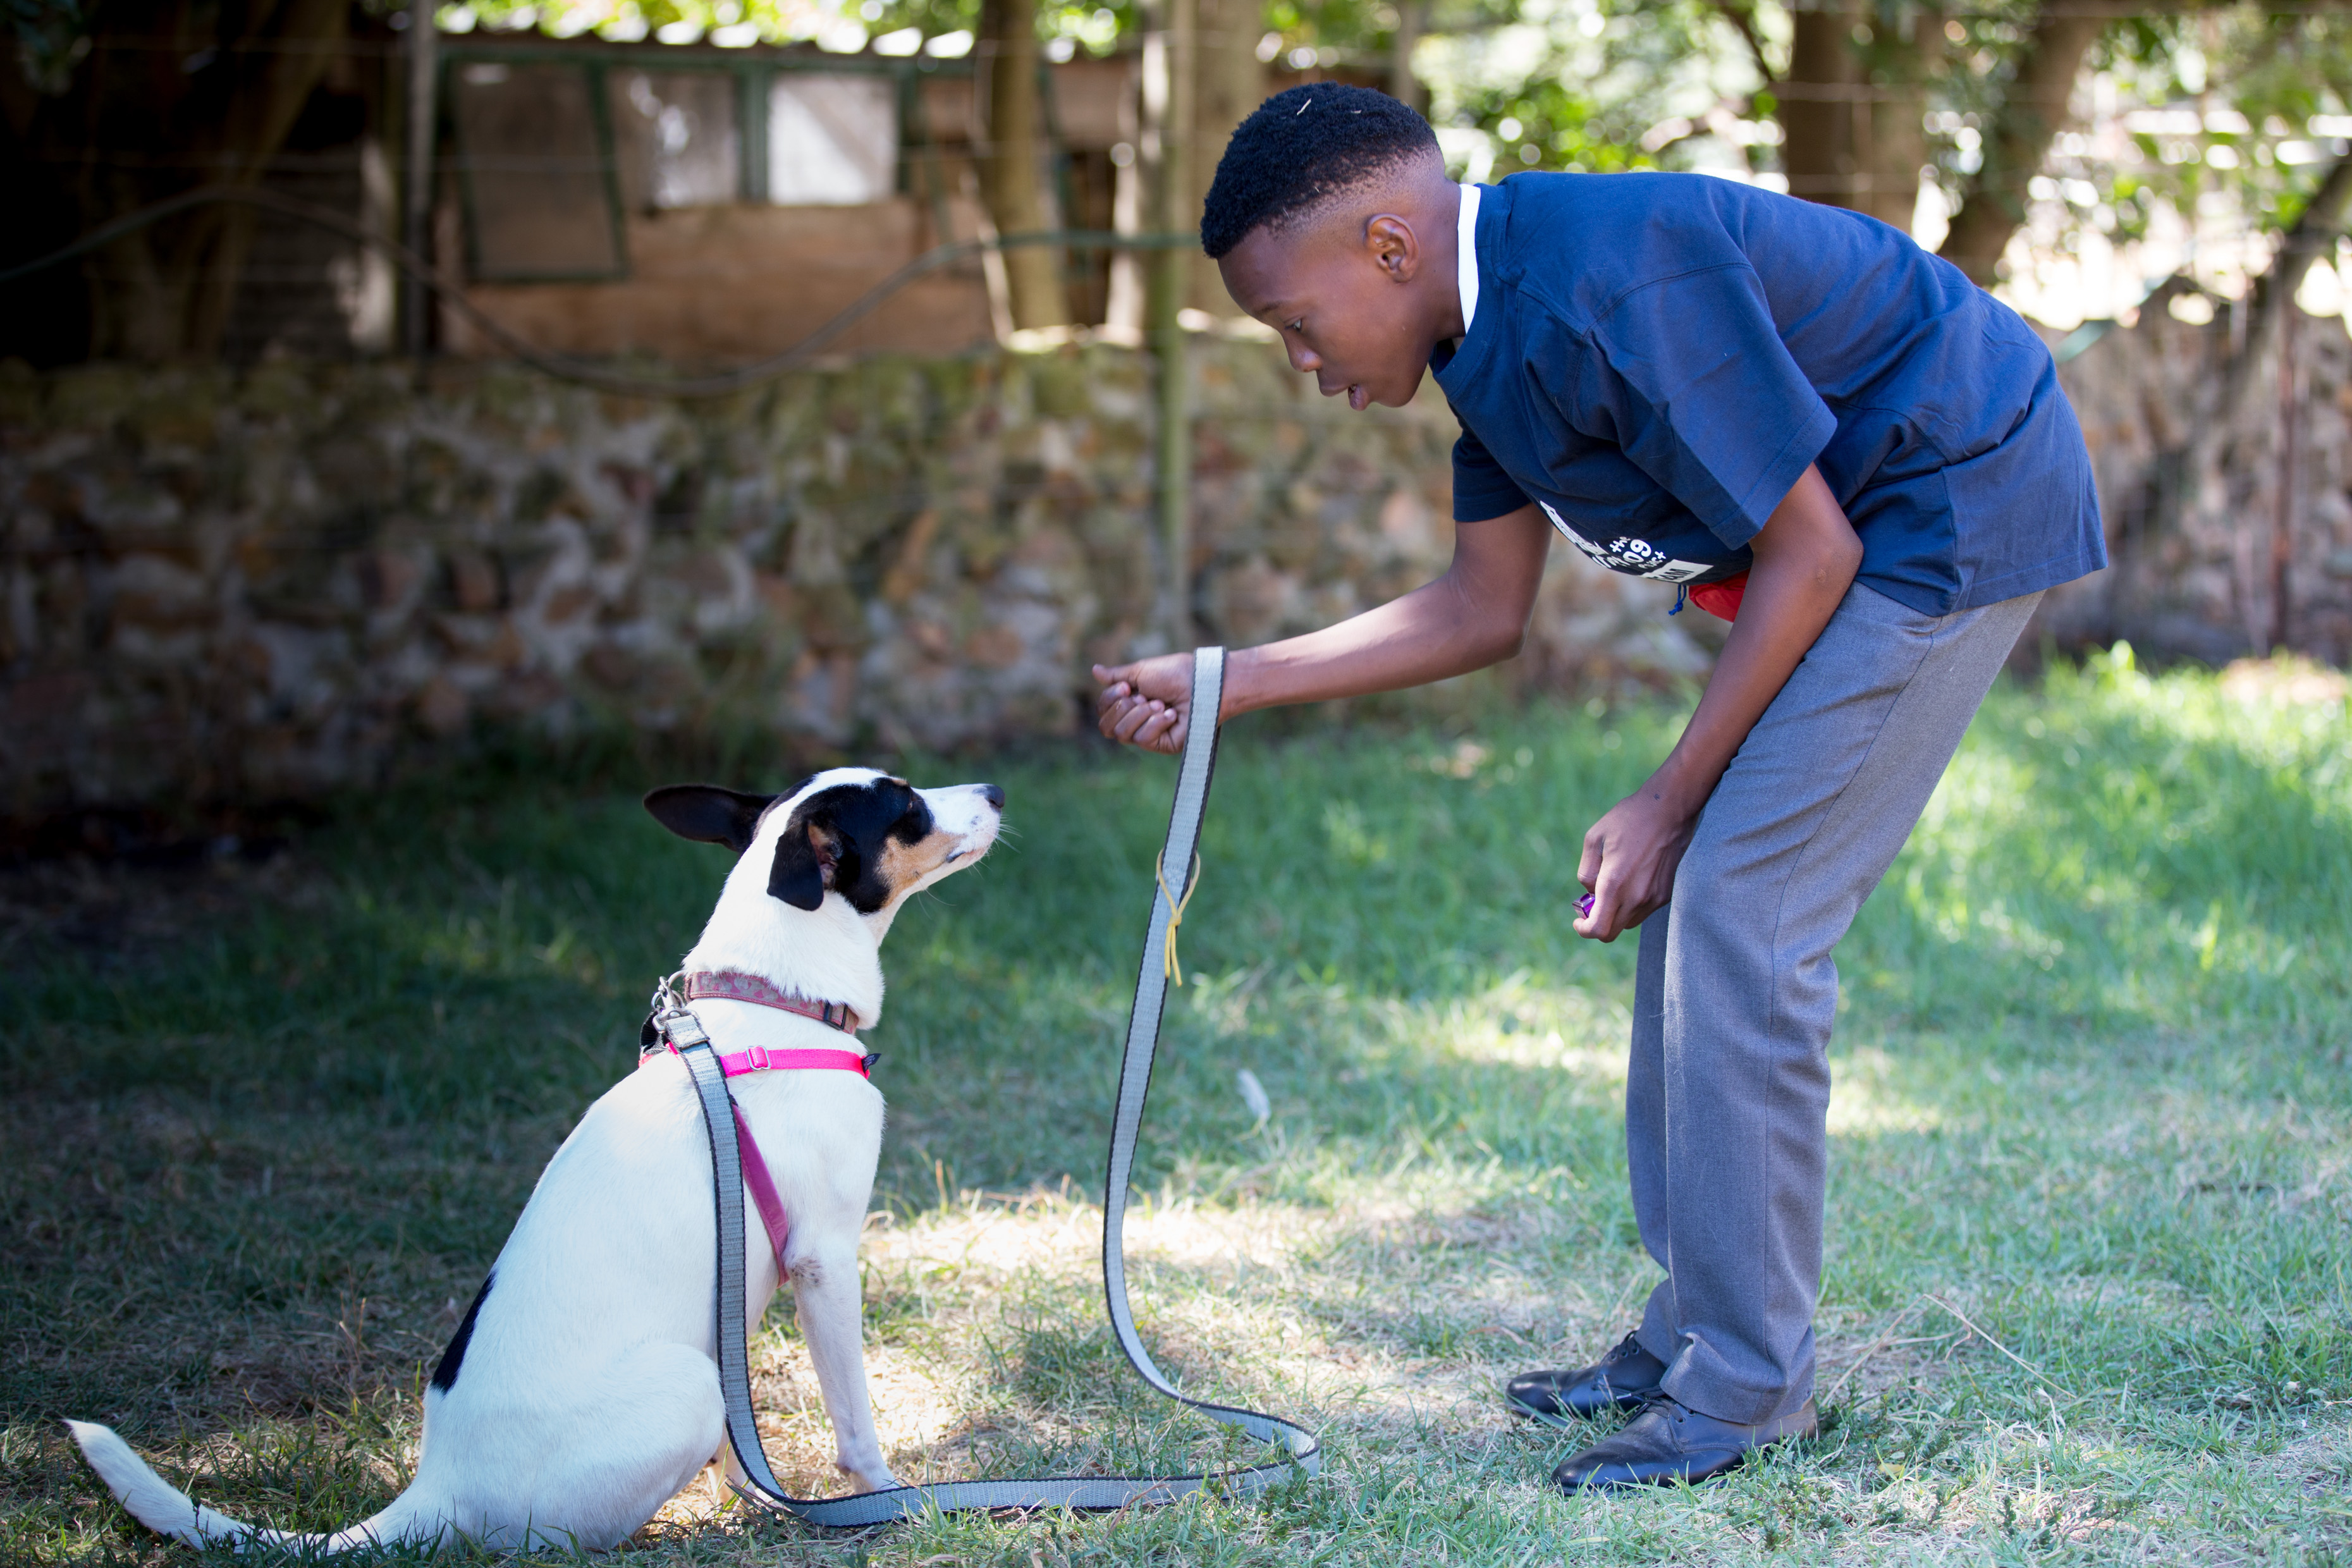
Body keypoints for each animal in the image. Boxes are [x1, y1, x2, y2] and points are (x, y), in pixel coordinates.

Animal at [68, 766, 1007, 1551]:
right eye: (906, 805)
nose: (995, 789)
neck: (776, 1001)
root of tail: (437, 1493)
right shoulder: (825, 1258)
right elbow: (856, 1419)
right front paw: (885, 1495)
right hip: (688, 1382)